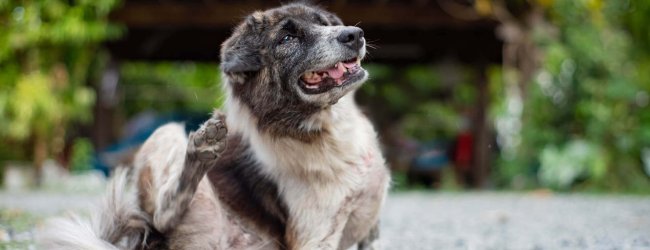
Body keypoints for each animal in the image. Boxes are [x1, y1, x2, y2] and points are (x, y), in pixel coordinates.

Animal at [40, 2, 390, 250]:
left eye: (325, 24)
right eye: (288, 38)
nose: (353, 34)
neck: (327, 129)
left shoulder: (368, 231)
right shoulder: (315, 238)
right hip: (168, 136)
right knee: (163, 214)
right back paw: (202, 149)